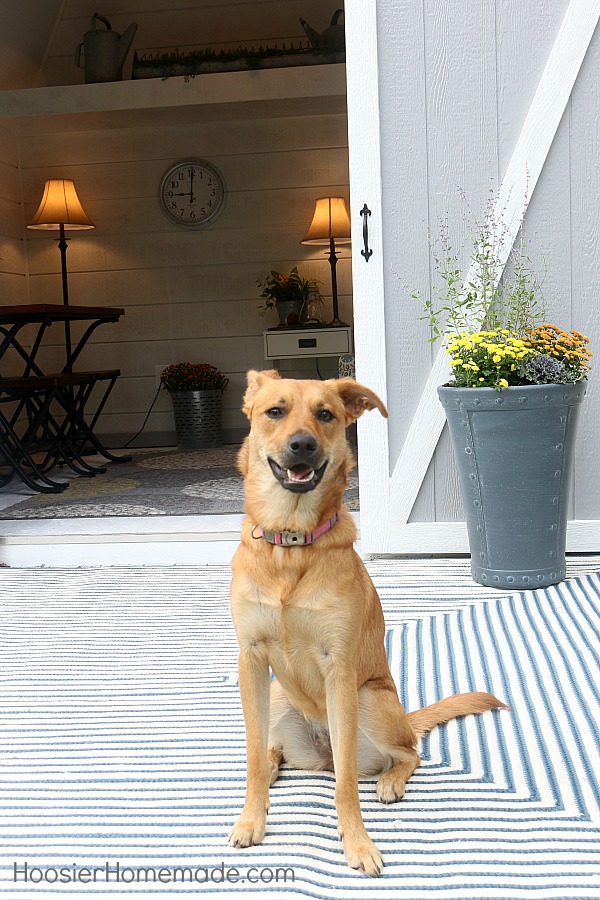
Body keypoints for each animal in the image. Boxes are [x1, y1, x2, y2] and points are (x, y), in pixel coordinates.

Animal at [230, 370, 506, 876]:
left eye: (325, 414)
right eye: (275, 411)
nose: (302, 445)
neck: (291, 545)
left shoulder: (338, 668)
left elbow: (345, 785)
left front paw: (357, 844)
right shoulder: (252, 661)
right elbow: (253, 760)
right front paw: (251, 819)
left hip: (368, 702)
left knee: (407, 752)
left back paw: (391, 780)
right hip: (278, 696)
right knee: (284, 752)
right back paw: (278, 761)